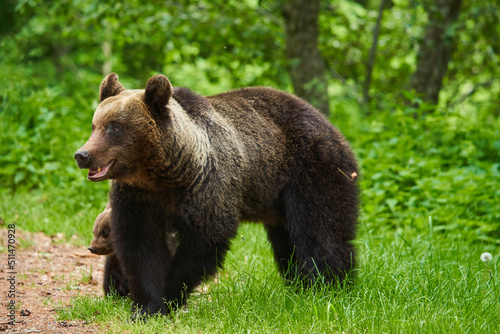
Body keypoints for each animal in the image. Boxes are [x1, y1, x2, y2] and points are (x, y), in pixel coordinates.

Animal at [74, 73, 360, 318]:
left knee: (320, 233)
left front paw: (170, 295)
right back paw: (300, 287)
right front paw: (147, 307)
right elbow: (140, 246)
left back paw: (330, 289)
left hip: (311, 170)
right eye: (94, 125)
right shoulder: (137, 197)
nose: (82, 155)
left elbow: (203, 243)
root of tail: (331, 126)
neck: (165, 174)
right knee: (287, 242)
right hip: (276, 200)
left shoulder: (206, 189)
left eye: (114, 128)